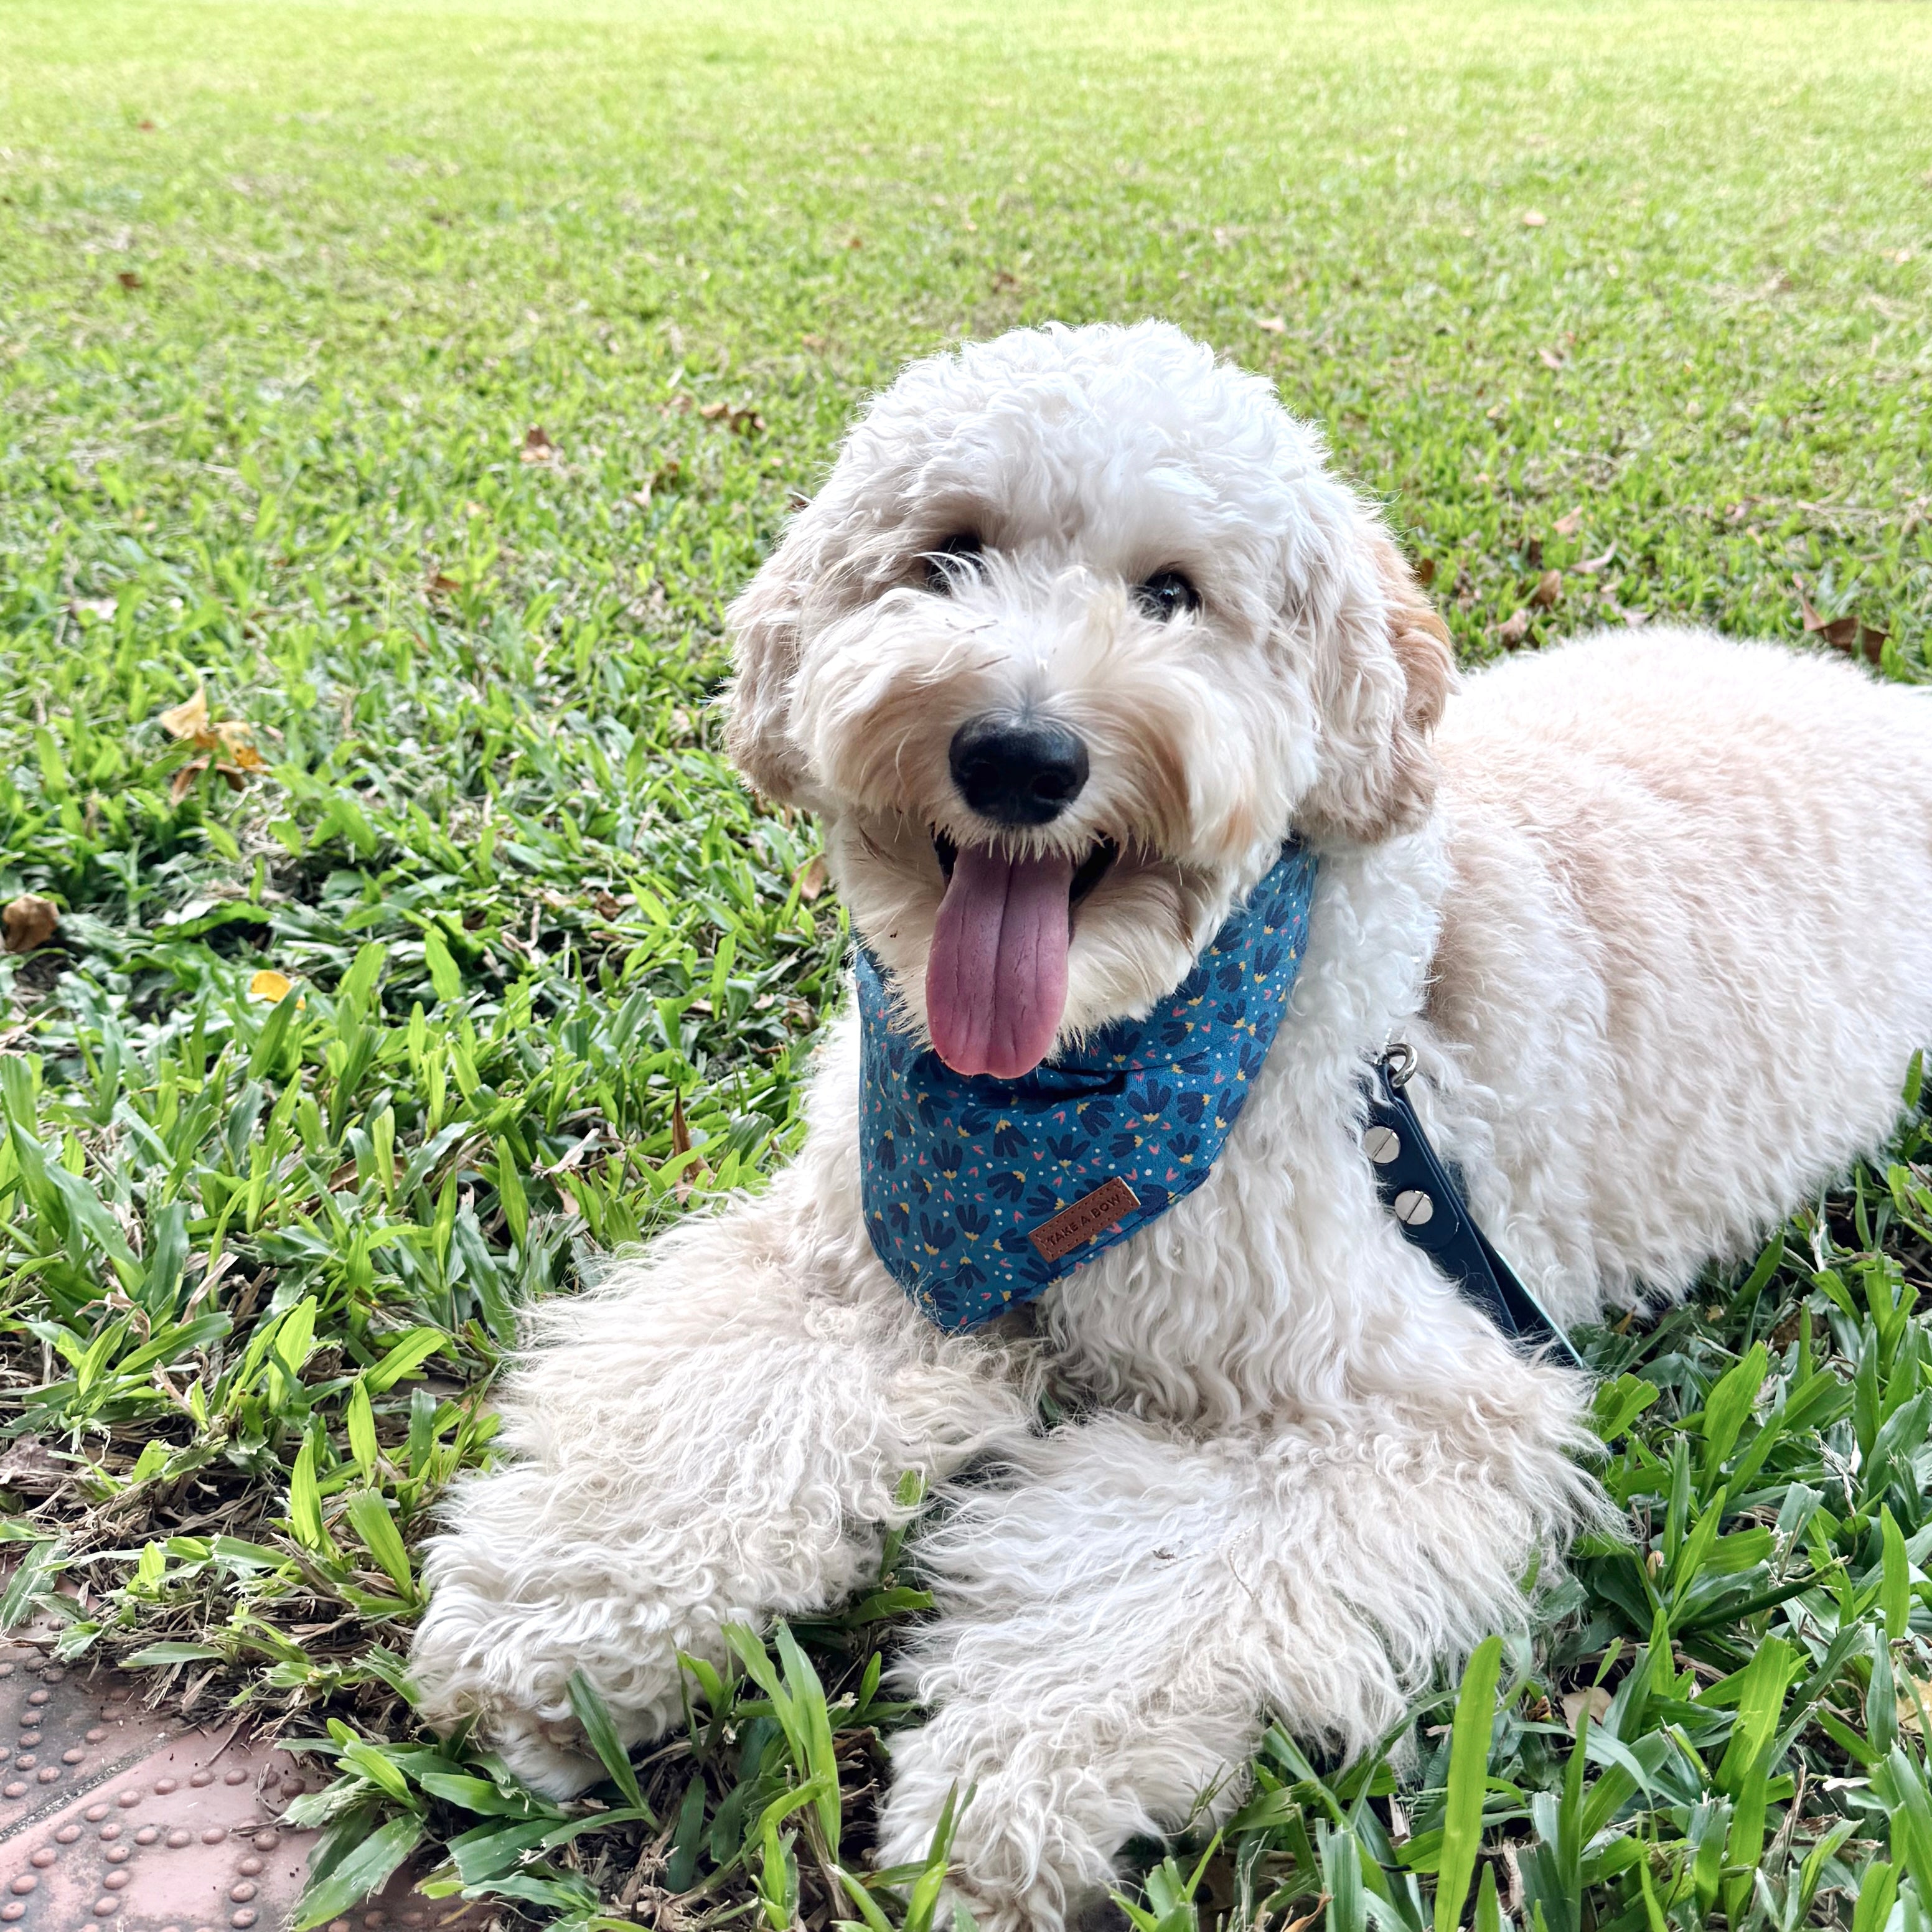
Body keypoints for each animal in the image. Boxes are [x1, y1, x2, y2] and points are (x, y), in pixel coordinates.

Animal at [415, 321, 1932, 1932]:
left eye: (1172, 593)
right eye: (949, 552)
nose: (1019, 757)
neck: (1075, 1092)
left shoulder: (1388, 1411)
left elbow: (1141, 1584)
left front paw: (994, 1799)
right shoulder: (844, 1276)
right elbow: (704, 1426)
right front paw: (559, 1624)